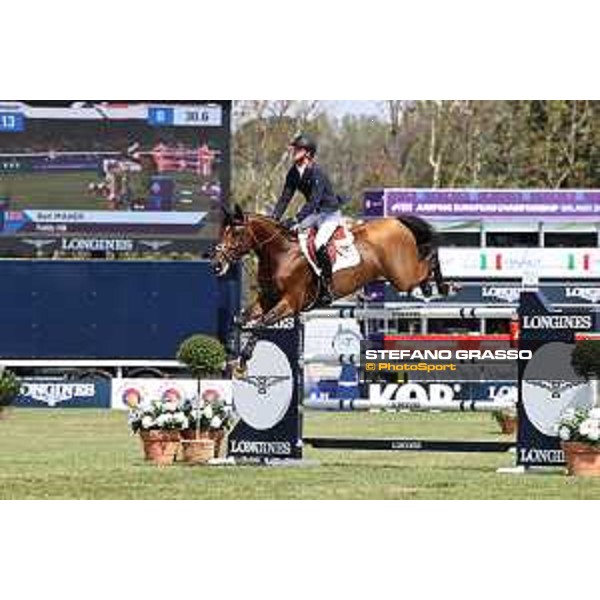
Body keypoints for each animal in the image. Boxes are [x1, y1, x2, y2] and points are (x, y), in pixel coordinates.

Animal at [211, 204, 450, 330]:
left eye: (236, 233)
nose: (217, 264)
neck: (281, 253)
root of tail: (397, 221)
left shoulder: (290, 303)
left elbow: (261, 324)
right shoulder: (267, 299)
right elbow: (243, 319)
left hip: (402, 276)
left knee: (429, 259)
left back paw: (439, 287)